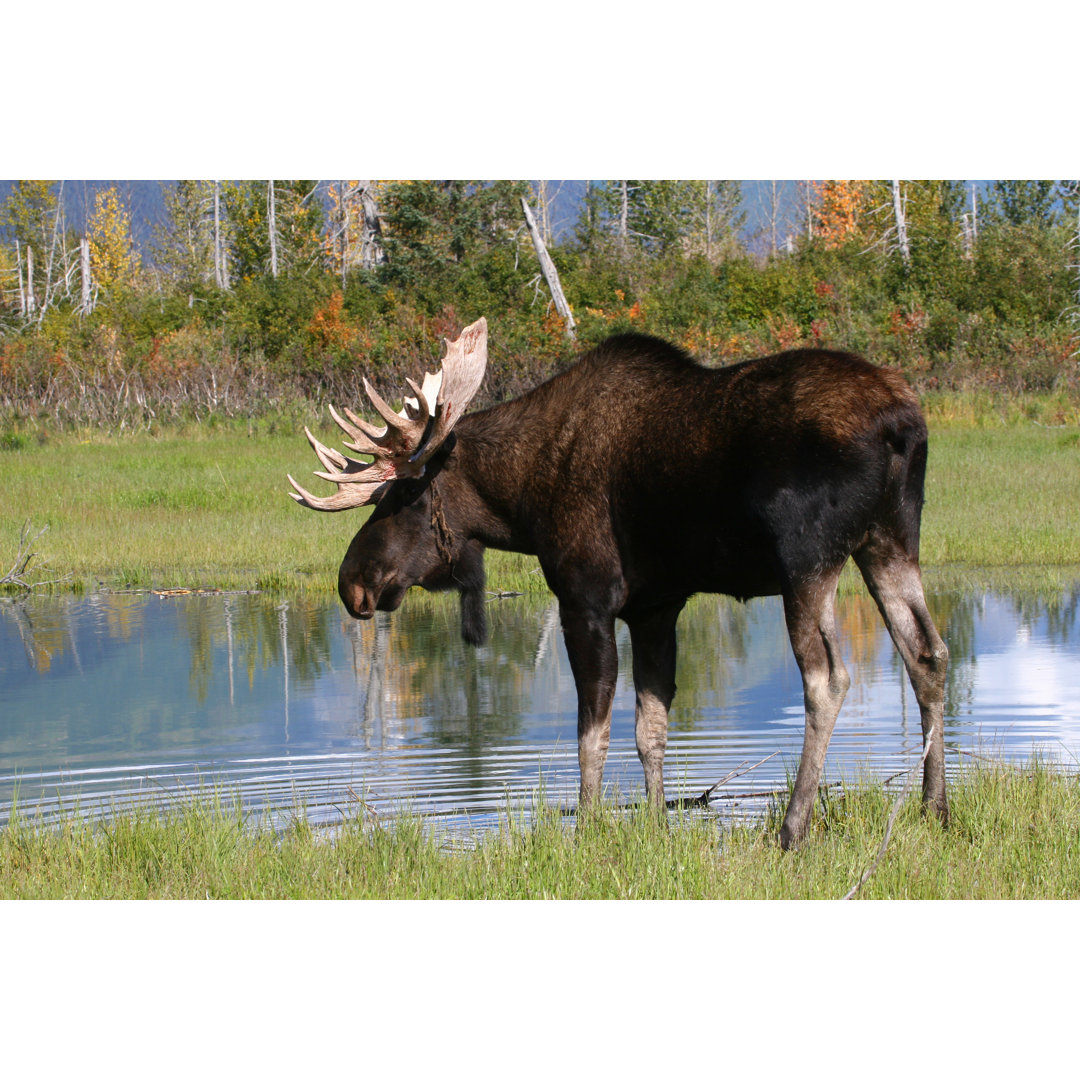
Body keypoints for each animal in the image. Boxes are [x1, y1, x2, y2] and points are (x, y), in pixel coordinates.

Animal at [291, 315, 950, 846]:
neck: (523, 501)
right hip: (891, 542)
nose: (352, 583)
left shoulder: (585, 599)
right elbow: (650, 728)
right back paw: (935, 809)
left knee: (829, 677)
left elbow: (592, 733)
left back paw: (793, 828)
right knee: (928, 653)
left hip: (808, 561)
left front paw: (586, 828)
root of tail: (901, 424)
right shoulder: (655, 607)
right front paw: (656, 823)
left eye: (402, 496)